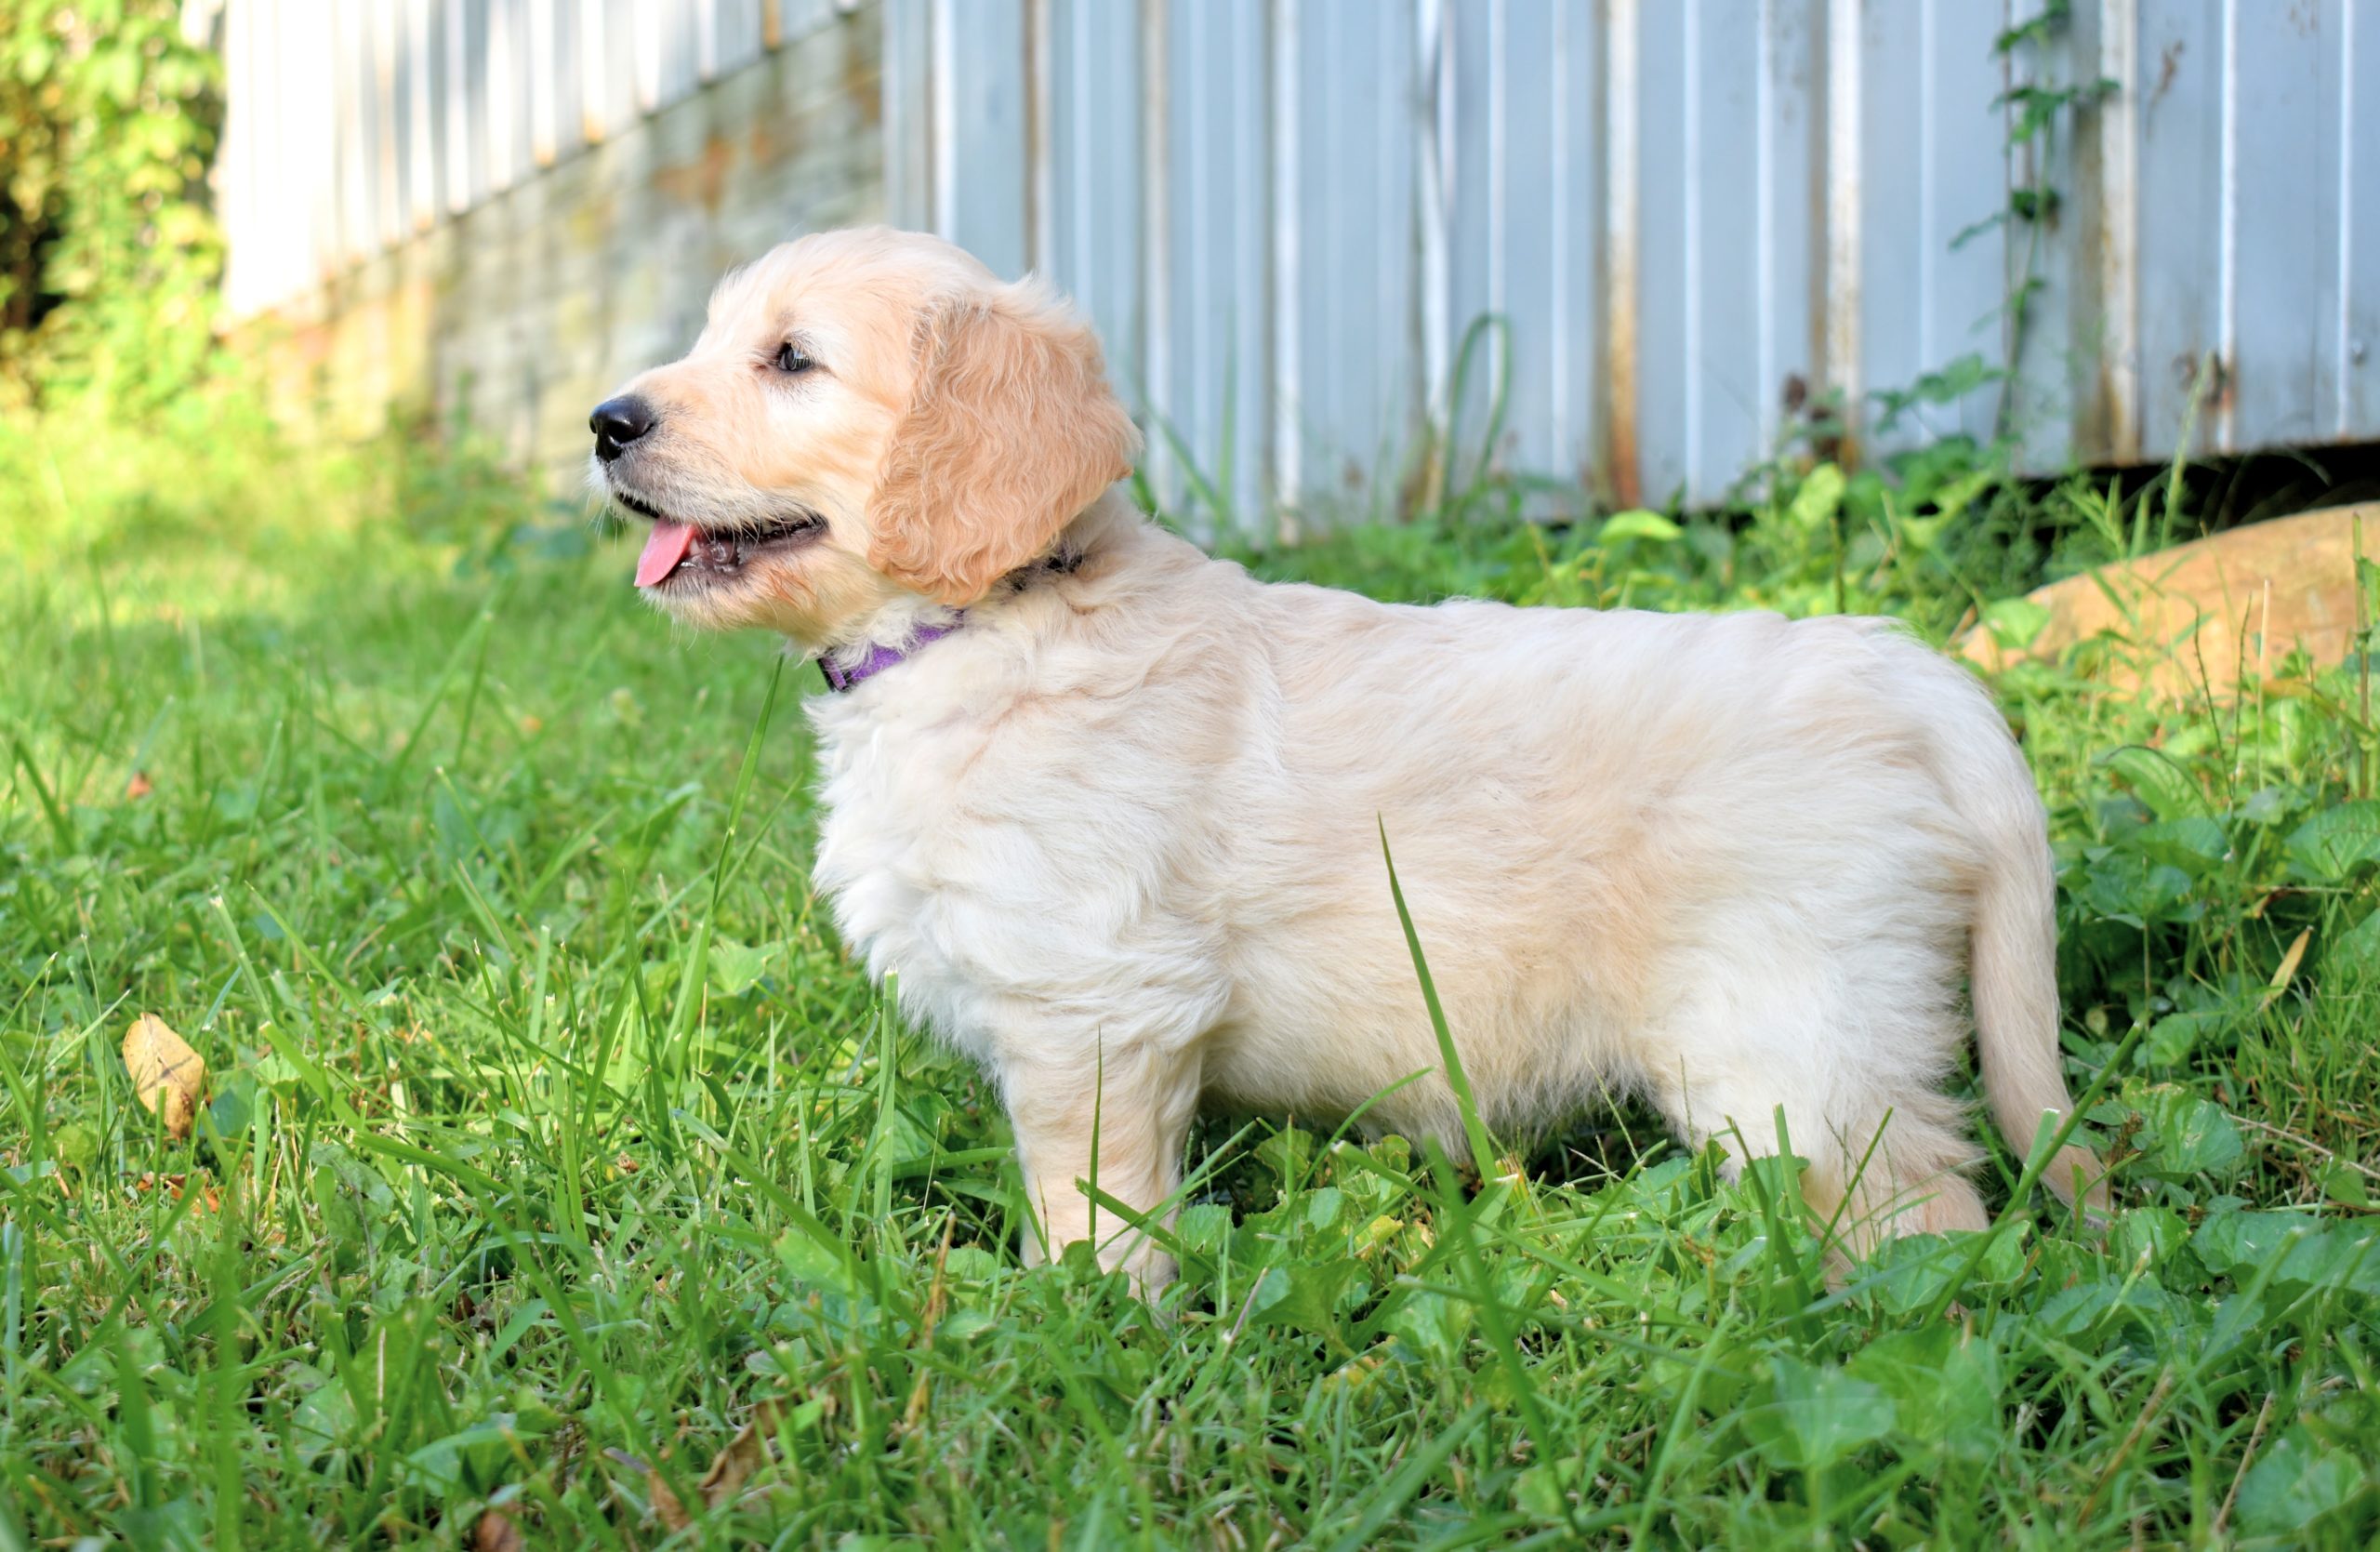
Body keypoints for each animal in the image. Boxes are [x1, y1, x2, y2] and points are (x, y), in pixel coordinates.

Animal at [589, 223, 2104, 1294]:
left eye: (791, 360)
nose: (607, 422)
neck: (989, 623)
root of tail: (1910, 673)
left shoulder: (1097, 1007)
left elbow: (1089, 1198)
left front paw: (1075, 1321)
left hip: (1797, 1044)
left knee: (1928, 1211)